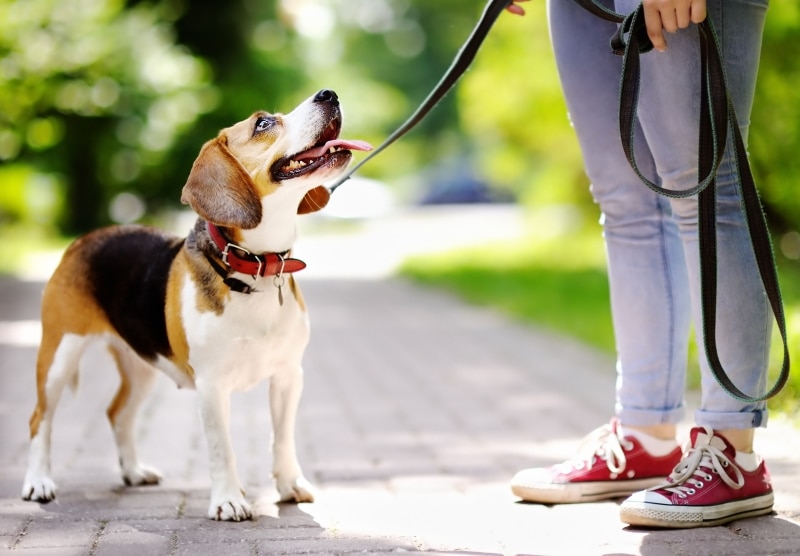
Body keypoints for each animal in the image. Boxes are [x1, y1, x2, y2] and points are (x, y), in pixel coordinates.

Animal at [21, 89, 372, 520]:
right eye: (263, 124)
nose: (329, 94)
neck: (254, 267)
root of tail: (84, 239)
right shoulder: (212, 385)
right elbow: (223, 448)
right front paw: (229, 500)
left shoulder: (289, 376)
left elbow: (283, 438)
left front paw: (290, 484)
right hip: (58, 355)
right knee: (40, 419)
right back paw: (38, 482)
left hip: (142, 365)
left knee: (118, 414)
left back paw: (133, 471)